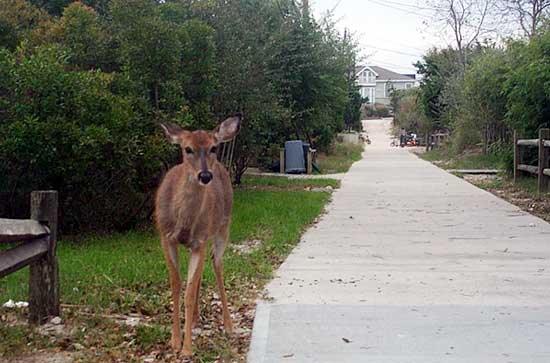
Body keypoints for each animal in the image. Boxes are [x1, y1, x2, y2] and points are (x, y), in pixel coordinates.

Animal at [155, 115, 242, 356]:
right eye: (187, 149)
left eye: (213, 147)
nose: (204, 175)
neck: (183, 221)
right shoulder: (165, 236)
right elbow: (177, 284)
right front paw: (175, 341)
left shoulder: (200, 239)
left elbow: (189, 290)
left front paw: (187, 348)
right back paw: (193, 320)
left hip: (223, 226)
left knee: (217, 263)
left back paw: (228, 325)